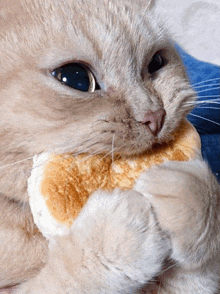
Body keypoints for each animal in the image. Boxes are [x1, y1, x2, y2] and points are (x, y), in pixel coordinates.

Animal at [0, 0, 219, 292]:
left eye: (156, 63)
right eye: (75, 78)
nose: (155, 116)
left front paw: (193, 196)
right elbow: (64, 276)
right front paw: (115, 232)